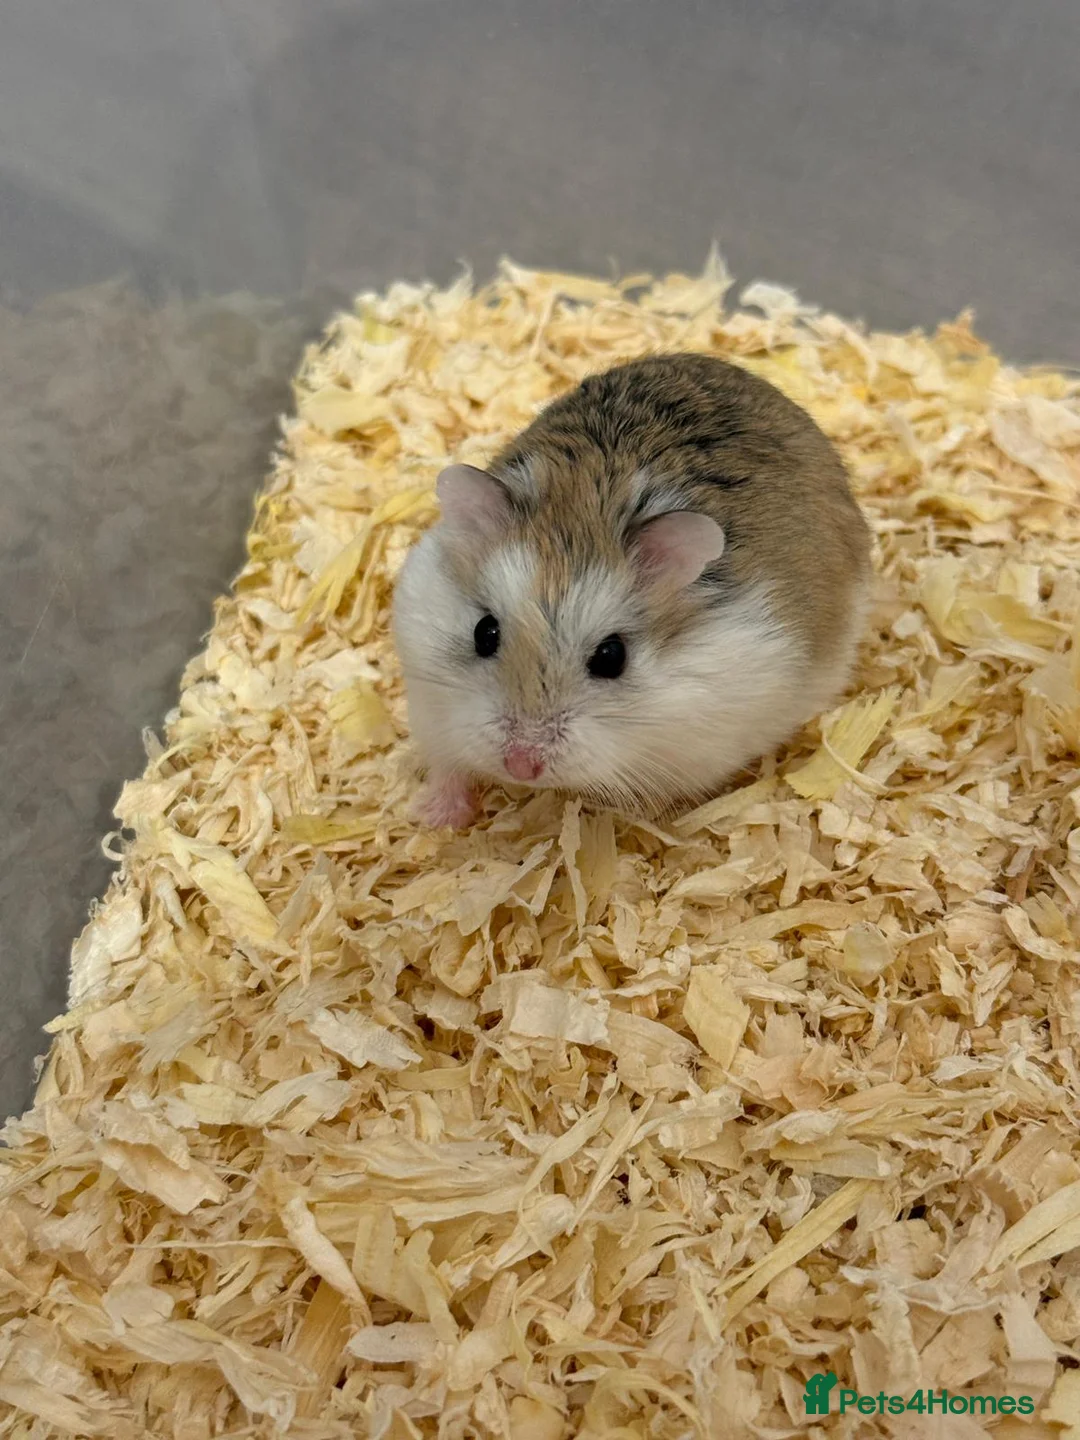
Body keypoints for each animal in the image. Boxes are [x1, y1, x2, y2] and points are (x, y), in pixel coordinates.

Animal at [392, 352, 872, 828]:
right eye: (484, 633)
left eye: (612, 657)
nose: (522, 765)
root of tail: (716, 362)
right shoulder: (431, 704)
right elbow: (448, 766)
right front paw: (432, 819)